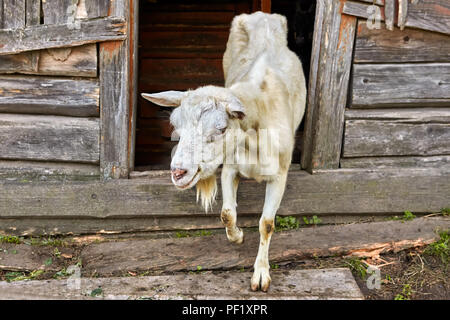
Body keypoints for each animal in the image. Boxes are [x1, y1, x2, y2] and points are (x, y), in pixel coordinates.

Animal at [142, 11, 308, 292]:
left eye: (220, 128)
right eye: (176, 126)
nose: (178, 172)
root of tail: (262, 15)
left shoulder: (279, 175)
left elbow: (266, 224)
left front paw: (261, 274)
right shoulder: (230, 168)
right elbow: (227, 213)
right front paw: (237, 237)